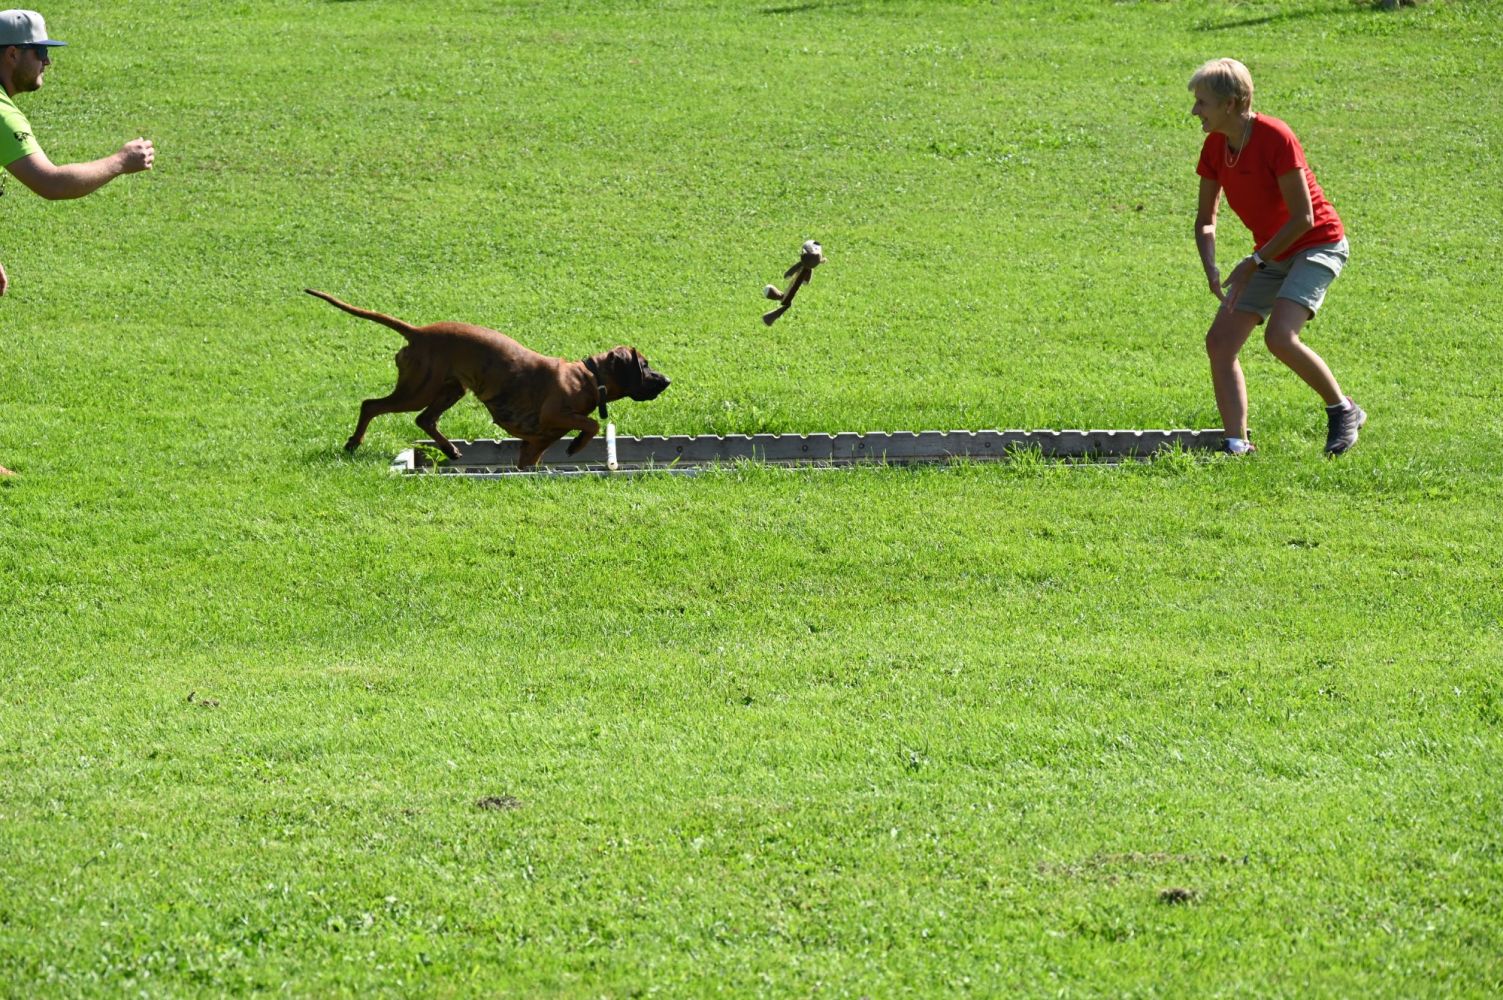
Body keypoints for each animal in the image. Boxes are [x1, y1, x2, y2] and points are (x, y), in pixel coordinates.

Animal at [306, 289, 670, 468]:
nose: (666, 380)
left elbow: (532, 461)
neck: (588, 377)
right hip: (418, 390)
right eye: (645, 365)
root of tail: (419, 332)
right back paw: (353, 443)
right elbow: (591, 423)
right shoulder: (556, 413)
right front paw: (577, 445)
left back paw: (450, 450)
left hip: (449, 390)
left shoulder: (533, 445)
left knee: (424, 420)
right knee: (371, 405)